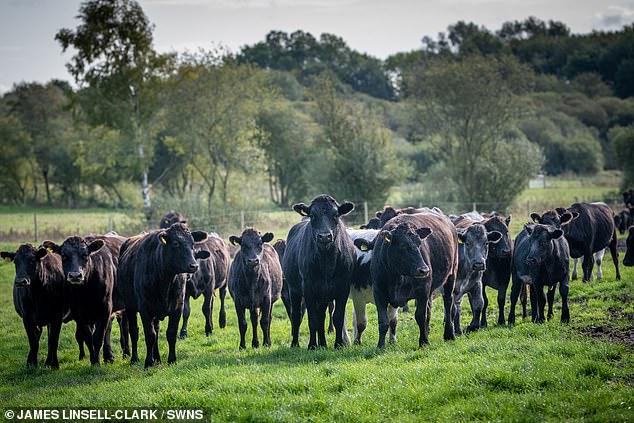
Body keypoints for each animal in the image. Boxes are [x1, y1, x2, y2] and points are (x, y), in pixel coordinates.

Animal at [42, 237, 116, 366]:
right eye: (64, 256)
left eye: (85, 255)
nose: (75, 275)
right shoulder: (79, 313)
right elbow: (88, 337)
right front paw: (93, 360)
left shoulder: (105, 309)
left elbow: (98, 338)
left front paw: (96, 363)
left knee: (107, 331)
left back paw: (109, 356)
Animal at [117, 225, 209, 368]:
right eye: (176, 243)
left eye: (193, 244)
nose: (194, 266)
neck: (165, 279)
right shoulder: (145, 309)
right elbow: (150, 335)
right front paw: (148, 363)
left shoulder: (177, 307)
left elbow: (170, 333)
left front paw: (172, 360)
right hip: (130, 306)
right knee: (134, 331)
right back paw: (135, 359)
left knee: (156, 329)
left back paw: (158, 359)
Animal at [282, 195, 356, 352]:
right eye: (312, 215)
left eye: (336, 215)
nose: (324, 236)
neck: (327, 261)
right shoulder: (308, 288)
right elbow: (312, 319)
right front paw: (312, 345)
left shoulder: (343, 288)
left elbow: (337, 317)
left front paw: (339, 344)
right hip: (294, 290)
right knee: (296, 315)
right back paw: (295, 344)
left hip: (323, 295)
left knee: (321, 316)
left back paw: (323, 343)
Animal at [358, 214, 456, 350]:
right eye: (403, 246)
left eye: (419, 244)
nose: (424, 270)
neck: (397, 276)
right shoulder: (379, 292)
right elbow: (383, 321)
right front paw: (380, 346)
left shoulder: (423, 290)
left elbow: (421, 316)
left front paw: (423, 342)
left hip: (451, 275)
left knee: (448, 303)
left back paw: (449, 334)